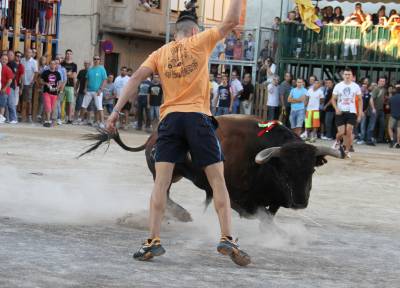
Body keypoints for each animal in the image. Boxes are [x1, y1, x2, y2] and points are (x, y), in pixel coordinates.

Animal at [79, 115, 342, 223]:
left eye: (311, 171)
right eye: (284, 171)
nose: (300, 202)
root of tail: (152, 136)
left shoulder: (271, 200)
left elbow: (268, 216)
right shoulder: (235, 197)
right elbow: (259, 215)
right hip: (166, 173)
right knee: (164, 196)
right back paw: (182, 215)